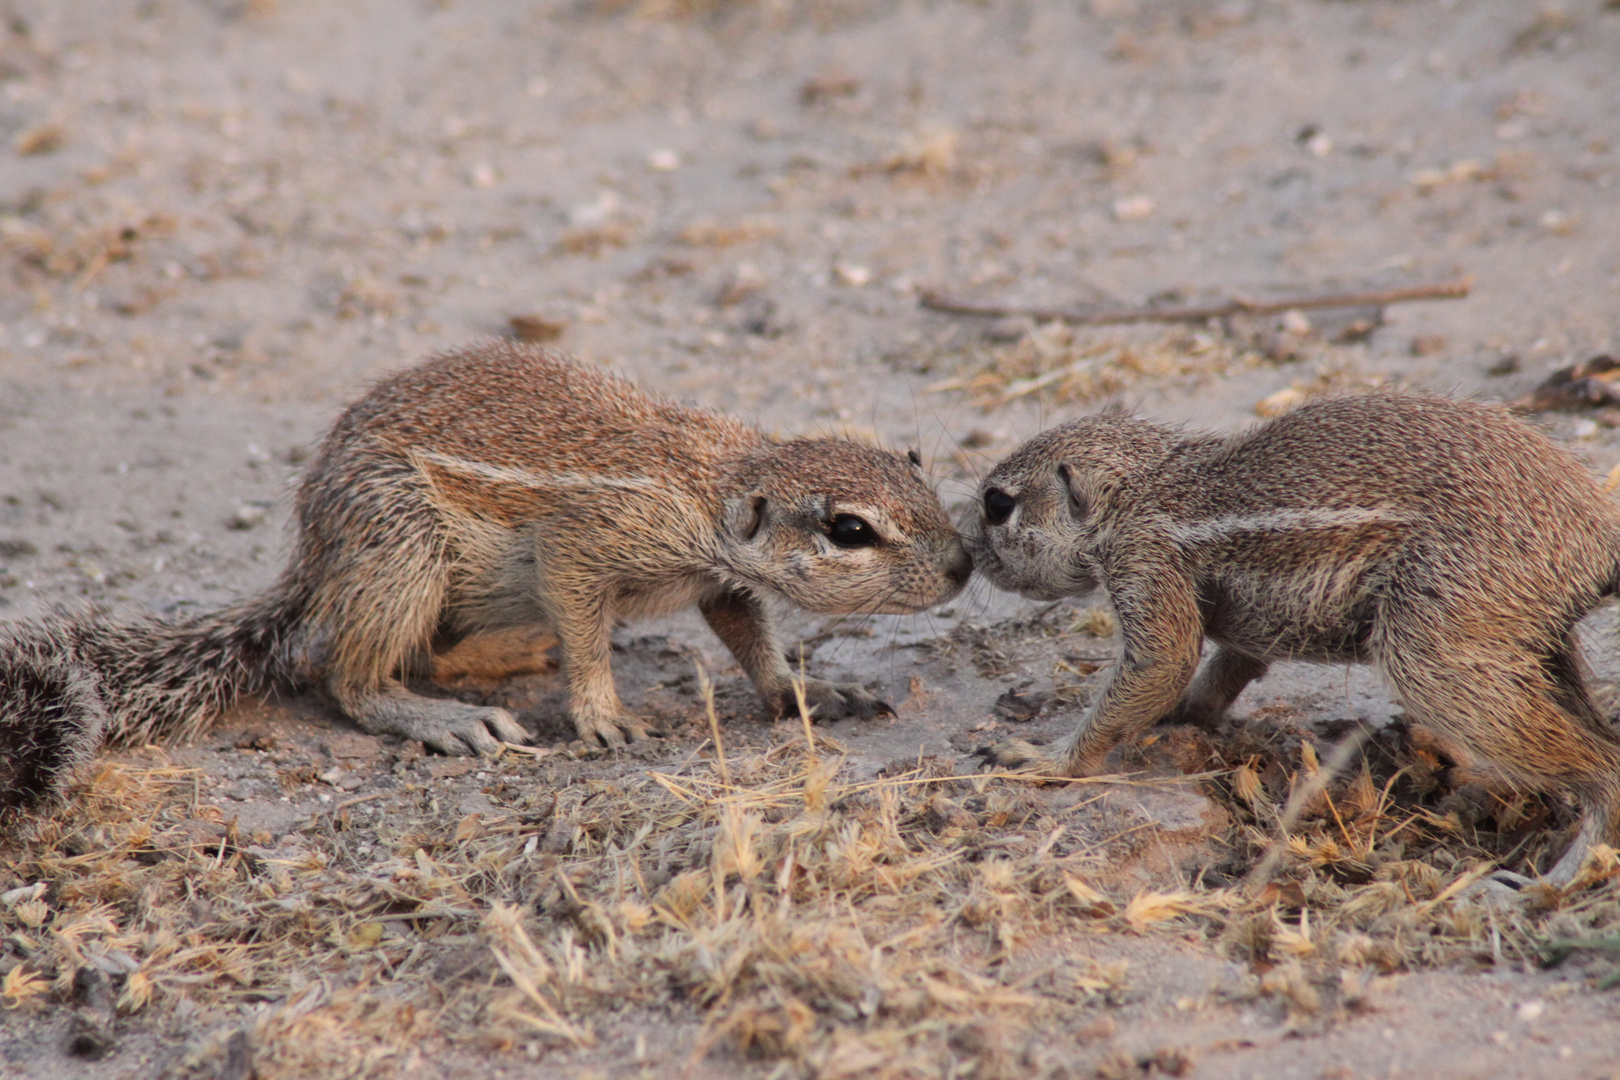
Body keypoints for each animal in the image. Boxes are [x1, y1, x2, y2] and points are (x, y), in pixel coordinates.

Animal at [0, 341, 972, 816]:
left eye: (915, 462)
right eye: (851, 530)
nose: (965, 564)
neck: (720, 482)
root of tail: (313, 558)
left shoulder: (717, 580)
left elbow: (749, 633)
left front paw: (807, 693)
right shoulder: (585, 545)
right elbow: (586, 628)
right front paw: (604, 716)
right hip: (401, 551)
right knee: (350, 677)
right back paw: (445, 718)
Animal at [965, 393, 1620, 880]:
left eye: (998, 504)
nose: (969, 554)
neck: (1143, 484)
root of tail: (1599, 531)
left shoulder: (1142, 557)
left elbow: (1162, 660)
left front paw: (1046, 759)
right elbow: (1225, 669)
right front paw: (1183, 714)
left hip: (1433, 642)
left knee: (1604, 764)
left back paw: (1557, 877)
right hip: (1534, 642)